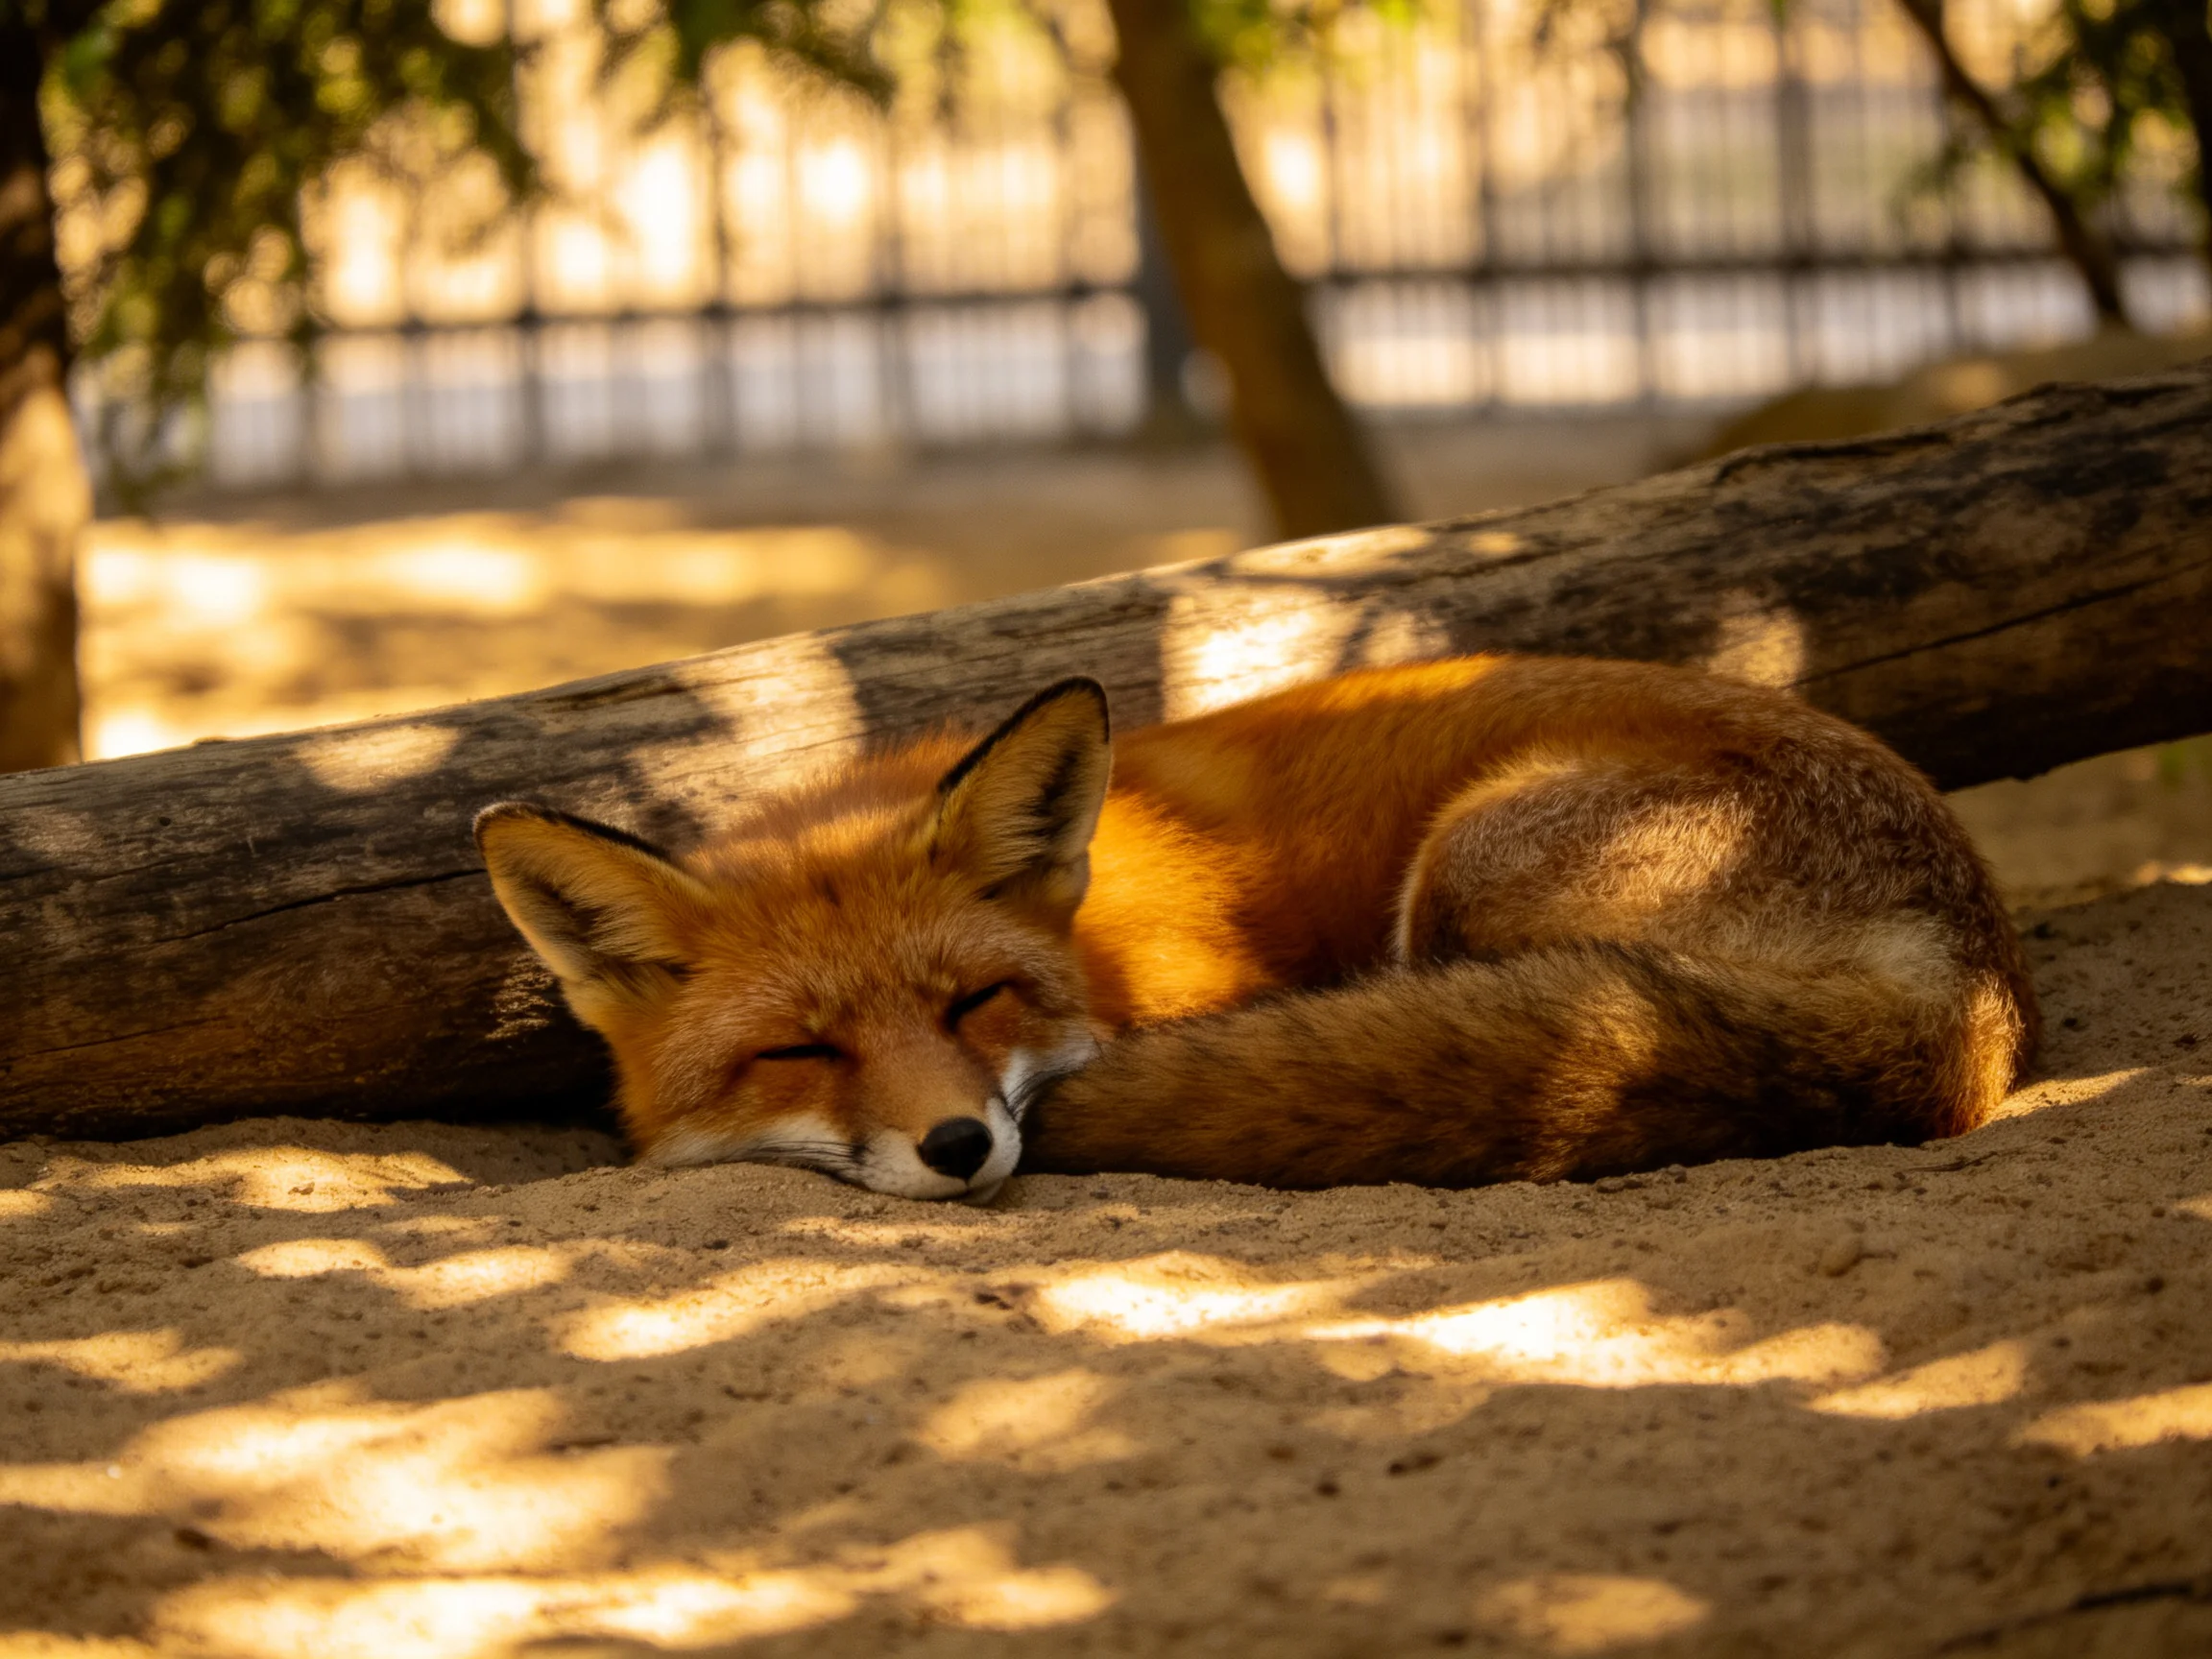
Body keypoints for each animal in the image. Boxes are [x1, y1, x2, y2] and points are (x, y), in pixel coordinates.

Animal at [475, 654, 2038, 1202]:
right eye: (801, 1050)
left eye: (976, 1003)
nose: (962, 1146)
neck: (1100, 950)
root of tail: (1969, 984)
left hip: (1465, 864)